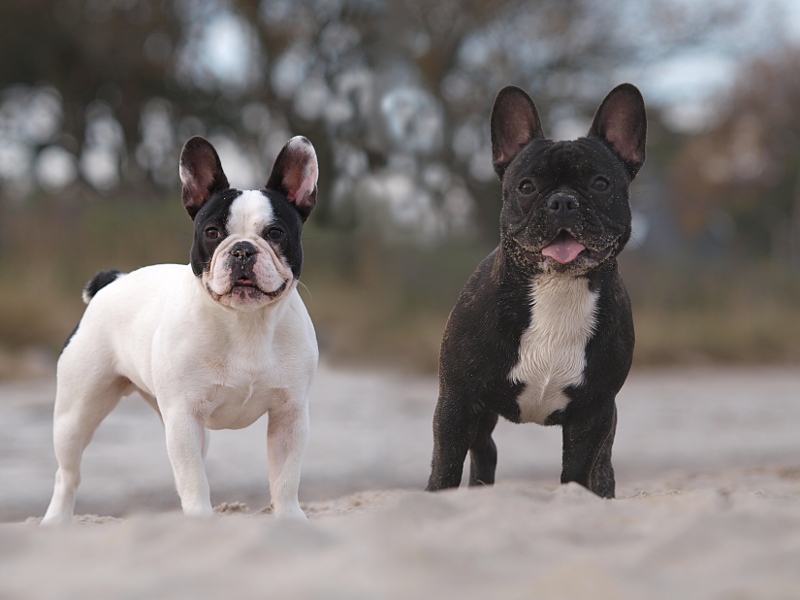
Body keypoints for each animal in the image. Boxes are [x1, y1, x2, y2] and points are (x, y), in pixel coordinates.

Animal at [42, 135, 318, 520]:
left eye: (275, 232)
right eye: (212, 232)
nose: (242, 250)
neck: (246, 322)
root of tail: (113, 281)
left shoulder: (290, 416)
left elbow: (286, 478)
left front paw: (290, 519)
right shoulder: (183, 417)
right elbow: (194, 481)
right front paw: (201, 520)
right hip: (76, 412)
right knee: (67, 473)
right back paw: (56, 520)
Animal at [424, 83, 644, 496]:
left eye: (600, 184)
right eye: (526, 187)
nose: (563, 201)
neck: (556, 287)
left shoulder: (594, 411)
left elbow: (578, 470)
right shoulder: (457, 402)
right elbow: (445, 466)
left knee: (602, 465)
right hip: (480, 415)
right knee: (485, 450)